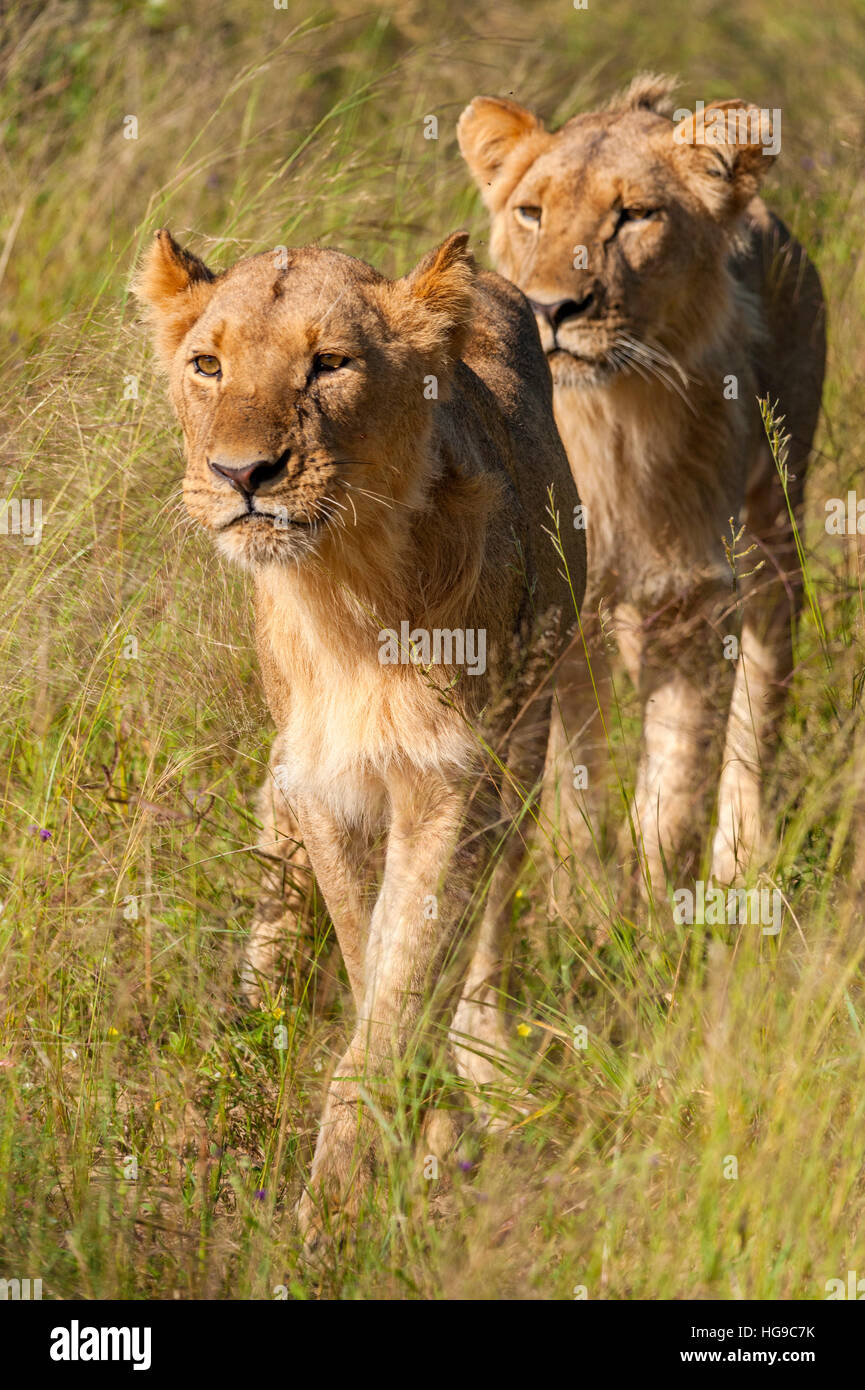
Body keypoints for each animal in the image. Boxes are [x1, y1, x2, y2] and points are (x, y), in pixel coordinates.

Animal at [134, 225, 589, 1239]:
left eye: (330, 365)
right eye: (207, 365)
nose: (241, 476)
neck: (346, 593)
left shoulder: (456, 781)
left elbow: (404, 980)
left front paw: (340, 1205)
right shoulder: (326, 786)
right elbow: (361, 946)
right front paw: (404, 1156)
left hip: (528, 734)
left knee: (488, 932)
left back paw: (489, 1065)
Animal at [458, 73, 828, 889]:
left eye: (634, 216)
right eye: (531, 212)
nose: (551, 309)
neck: (612, 422)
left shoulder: (693, 599)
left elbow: (674, 788)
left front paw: (657, 900)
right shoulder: (559, 613)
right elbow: (575, 787)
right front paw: (576, 896)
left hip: (775, 525)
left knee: (762, 691)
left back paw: (741, 858)